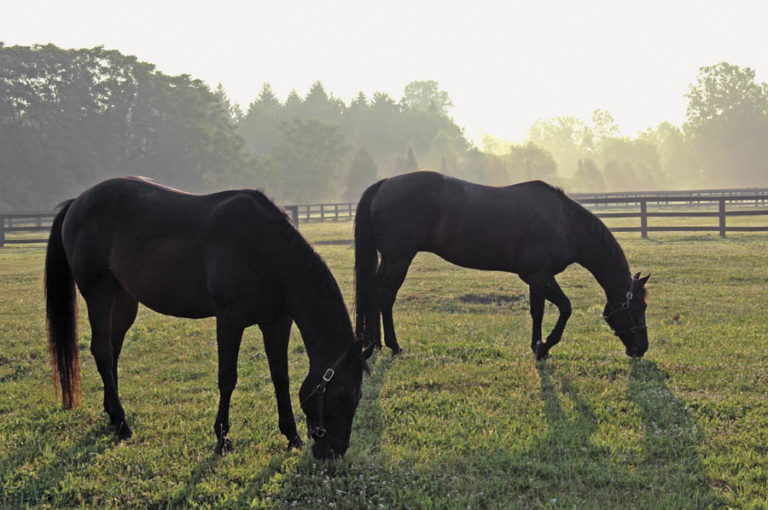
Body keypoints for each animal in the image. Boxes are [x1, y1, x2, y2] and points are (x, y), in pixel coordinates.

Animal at [45, 176, 372, 459]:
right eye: (344, 396)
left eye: (356, 398)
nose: (333, 452)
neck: (268, 250)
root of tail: (78, 202)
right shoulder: (229, 319)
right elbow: (227, 378)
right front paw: (222, 438)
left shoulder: (277, 322)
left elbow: (281, 376)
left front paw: (291, 436)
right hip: (98, 294)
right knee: (101, 349)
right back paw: (124, 424)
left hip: (123, 301)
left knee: (112, 351)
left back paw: (113, 416)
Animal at [354, 171, 649, 360]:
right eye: (639, 307)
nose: (641, 348)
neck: (564, 224)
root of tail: (385, 184)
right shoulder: (541, 276)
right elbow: (565, 308)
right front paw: (547, 346)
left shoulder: (536, 278)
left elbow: (537, 312)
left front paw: (537, 347)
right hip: (398, 258)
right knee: (384, 296)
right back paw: (392, 346)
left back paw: (375, 344)